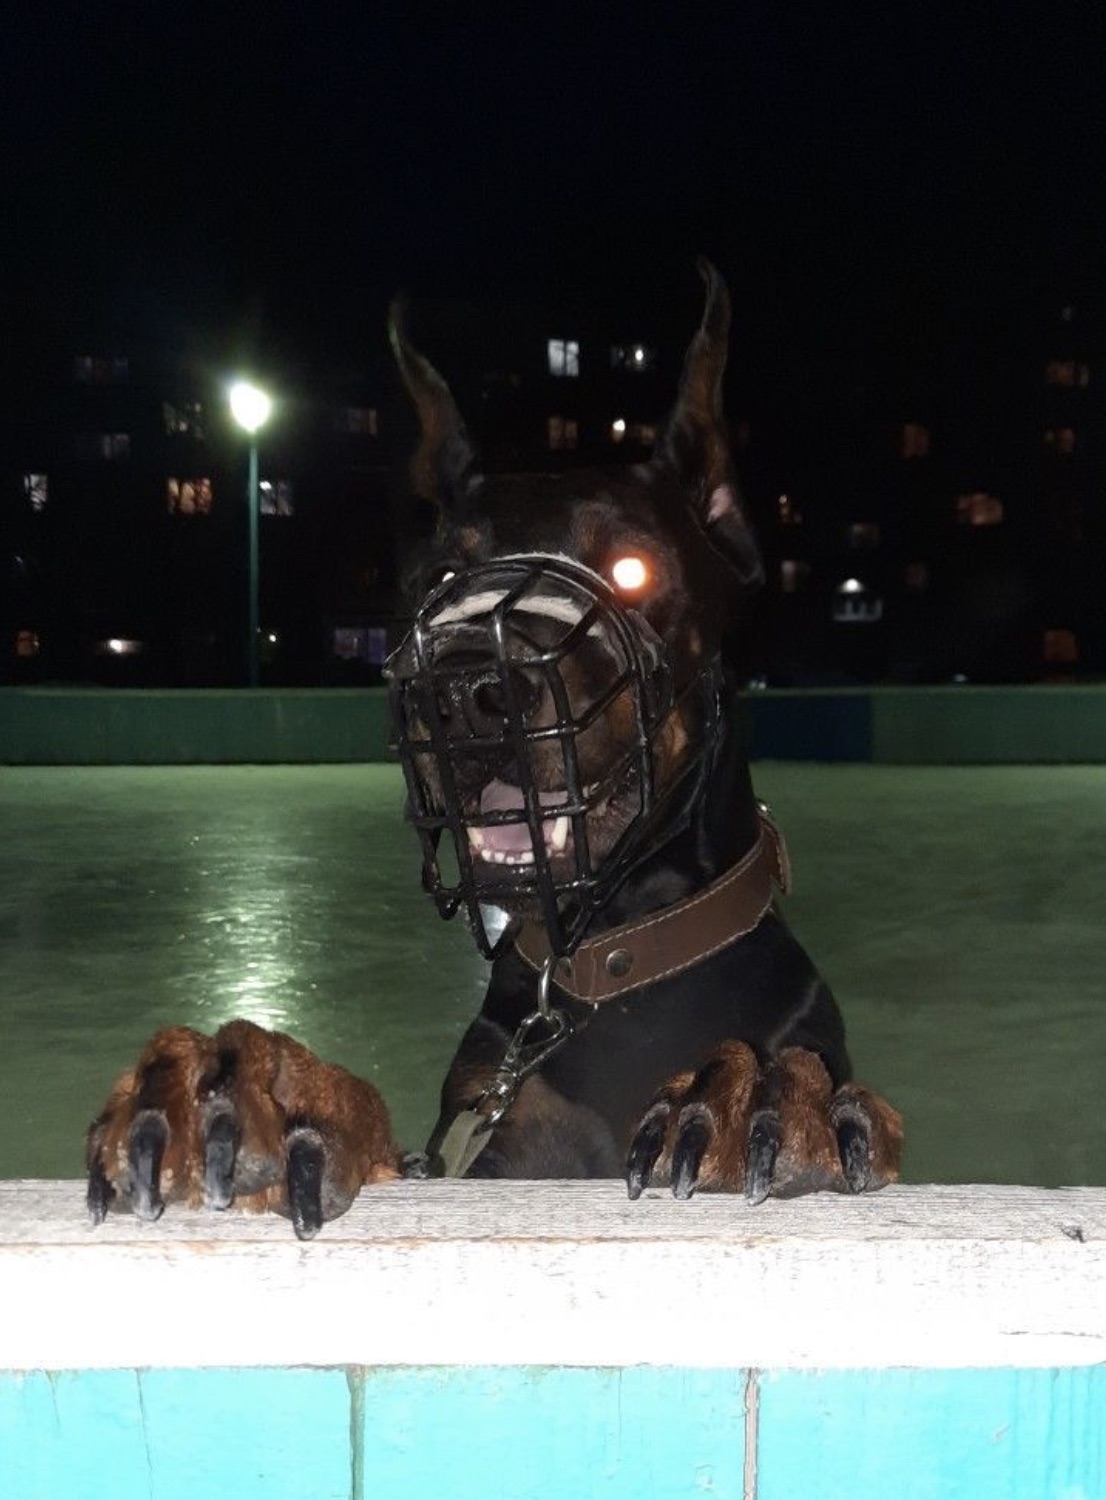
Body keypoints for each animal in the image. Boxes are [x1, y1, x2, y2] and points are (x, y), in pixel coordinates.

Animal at [84, 264, 900, 1236]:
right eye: (441, 576)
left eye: (633, 568)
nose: (465, 691)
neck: (616, 968)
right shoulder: (486, 1144)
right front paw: (257, 1092)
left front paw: (762, 1097)